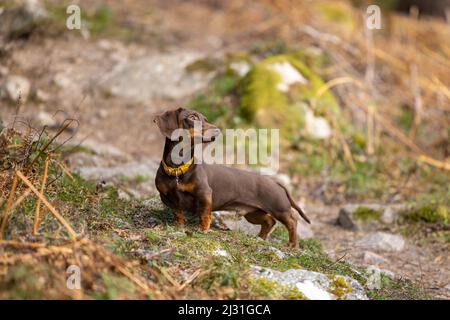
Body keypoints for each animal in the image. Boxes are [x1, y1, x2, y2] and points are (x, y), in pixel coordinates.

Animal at [154, 107, 310, 248]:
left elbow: (205, 214)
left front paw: (203, 229)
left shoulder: (204, 194)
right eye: (193, 117)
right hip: (254, 213)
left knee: (292, 222)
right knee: (269, 221)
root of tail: (277, 183)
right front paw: (179, 225)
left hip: (279, 208)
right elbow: (178, 212)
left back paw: (292, 244)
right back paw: (260, 238)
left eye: (206, 119)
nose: (217, 130)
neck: (177, 170)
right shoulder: (166, 197)